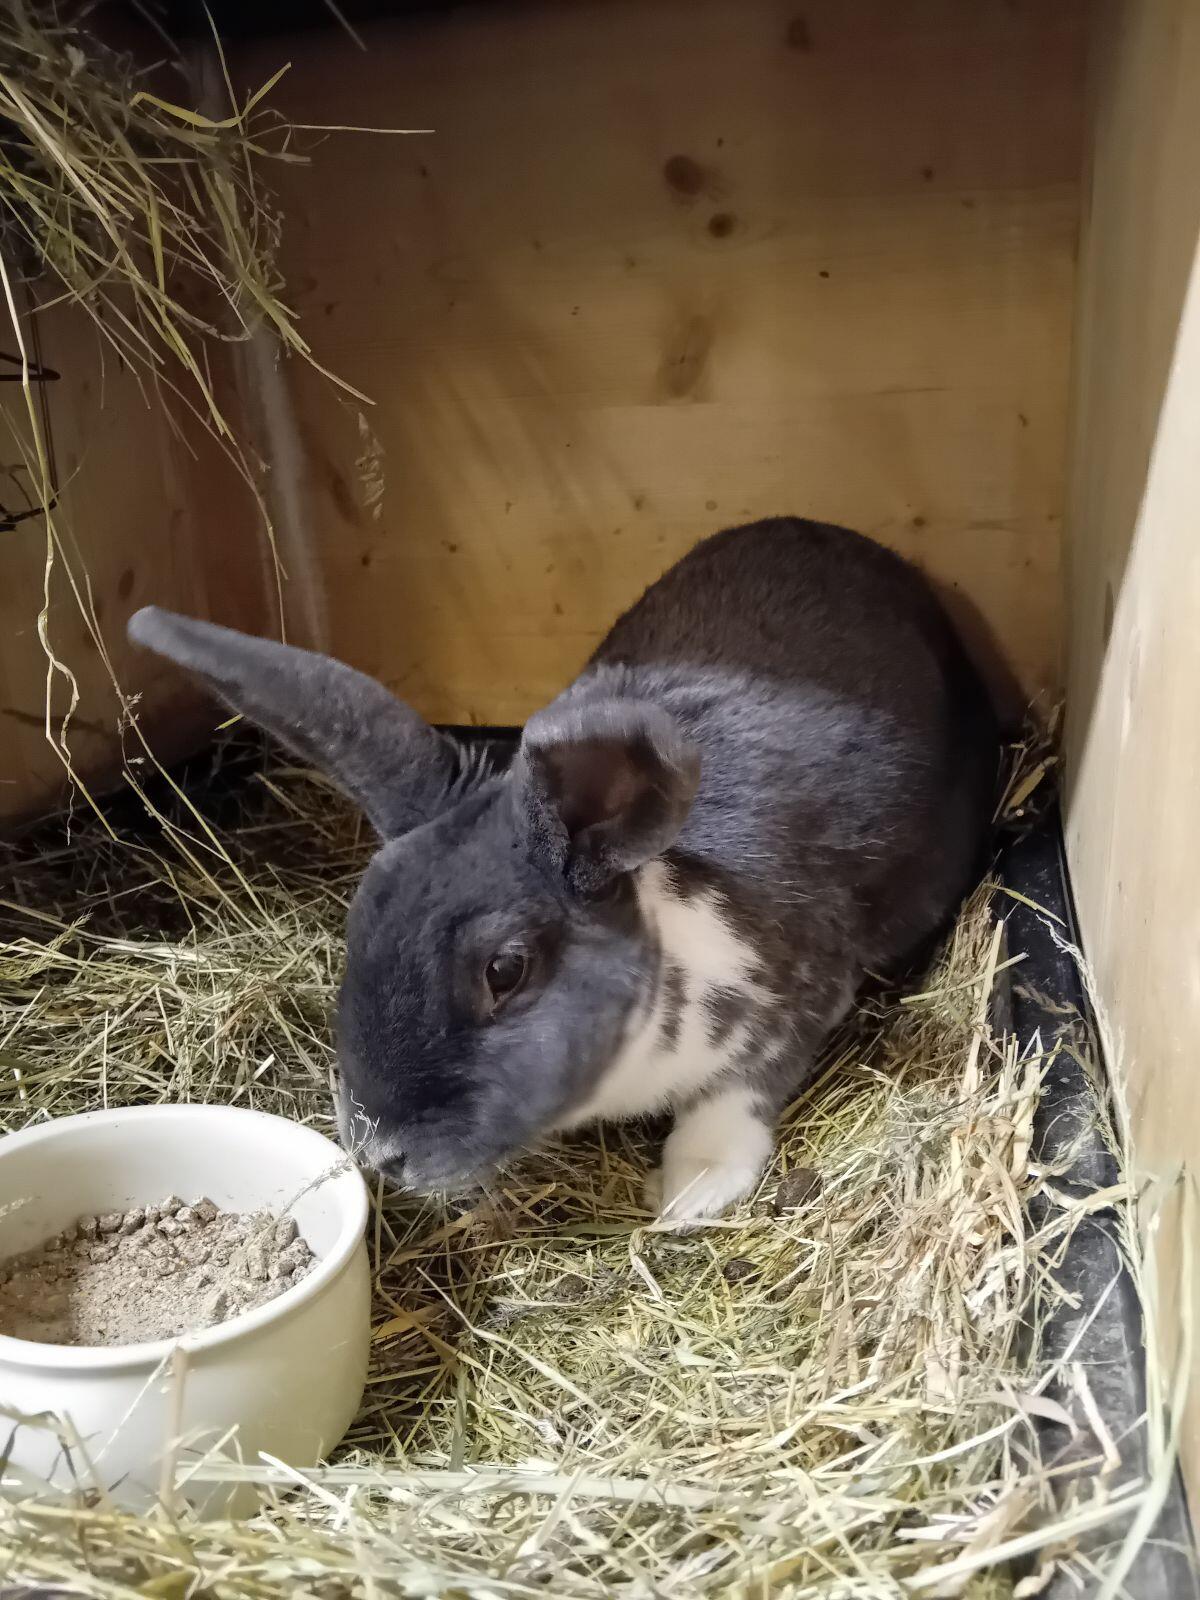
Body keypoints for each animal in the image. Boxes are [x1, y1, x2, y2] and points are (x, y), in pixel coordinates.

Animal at [128, 517, 999, 1223]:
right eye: (358, 919)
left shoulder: (793, 997)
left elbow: (739, 1091)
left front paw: (689, 1192)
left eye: (504, 970)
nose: (382, 1153)